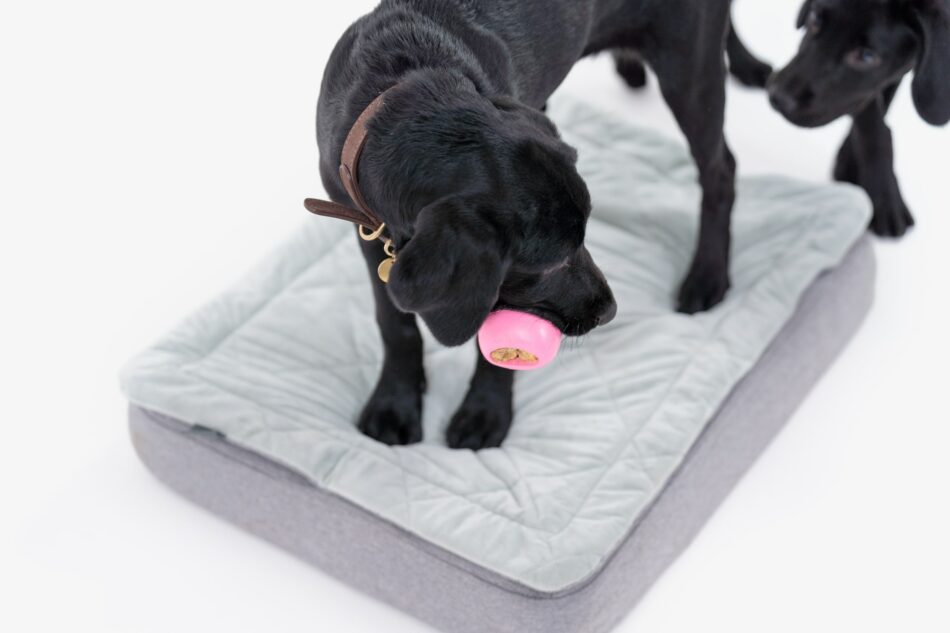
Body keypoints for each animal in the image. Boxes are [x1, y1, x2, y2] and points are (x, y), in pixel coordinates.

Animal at [320, 0, 760, 450]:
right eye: (551, 264)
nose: (610, 311)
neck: (406, 78)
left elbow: (493, 339)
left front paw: (485, 410)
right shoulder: (366, 230)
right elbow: (395, 323)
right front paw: (395, 404)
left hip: (690, 74)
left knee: (721, 170)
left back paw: (707, 277)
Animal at [772, 0, 950, 237]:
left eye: (866, 56)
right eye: (815, 19)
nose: (778, 97)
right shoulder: (868, 94)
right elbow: (873, 125)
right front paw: (884, 197)